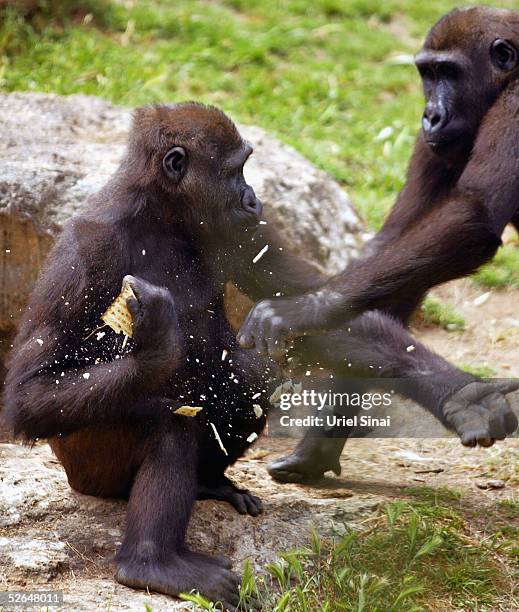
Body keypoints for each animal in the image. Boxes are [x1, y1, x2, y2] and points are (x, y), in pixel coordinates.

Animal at [239, 7, 519, 480]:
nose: (430, 116)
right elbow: (389, 255)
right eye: (428, 73)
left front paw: (305, 309)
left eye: (450, 72)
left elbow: (472, 217)